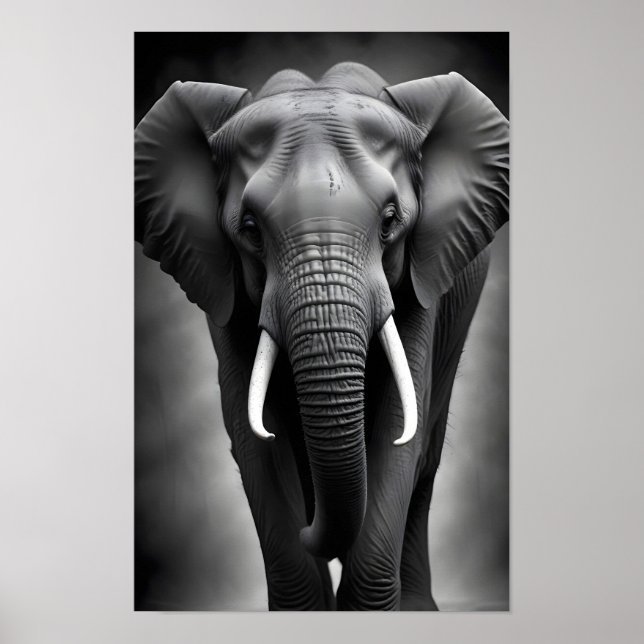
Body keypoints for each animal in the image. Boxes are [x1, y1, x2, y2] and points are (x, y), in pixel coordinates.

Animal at [134, 62, 509, 610]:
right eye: (250, 229)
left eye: (390, 222)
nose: (312, 527)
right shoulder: (220, 284)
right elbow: (253, 434)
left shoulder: (423, 278)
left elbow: (400, 428)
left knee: (425, 460)